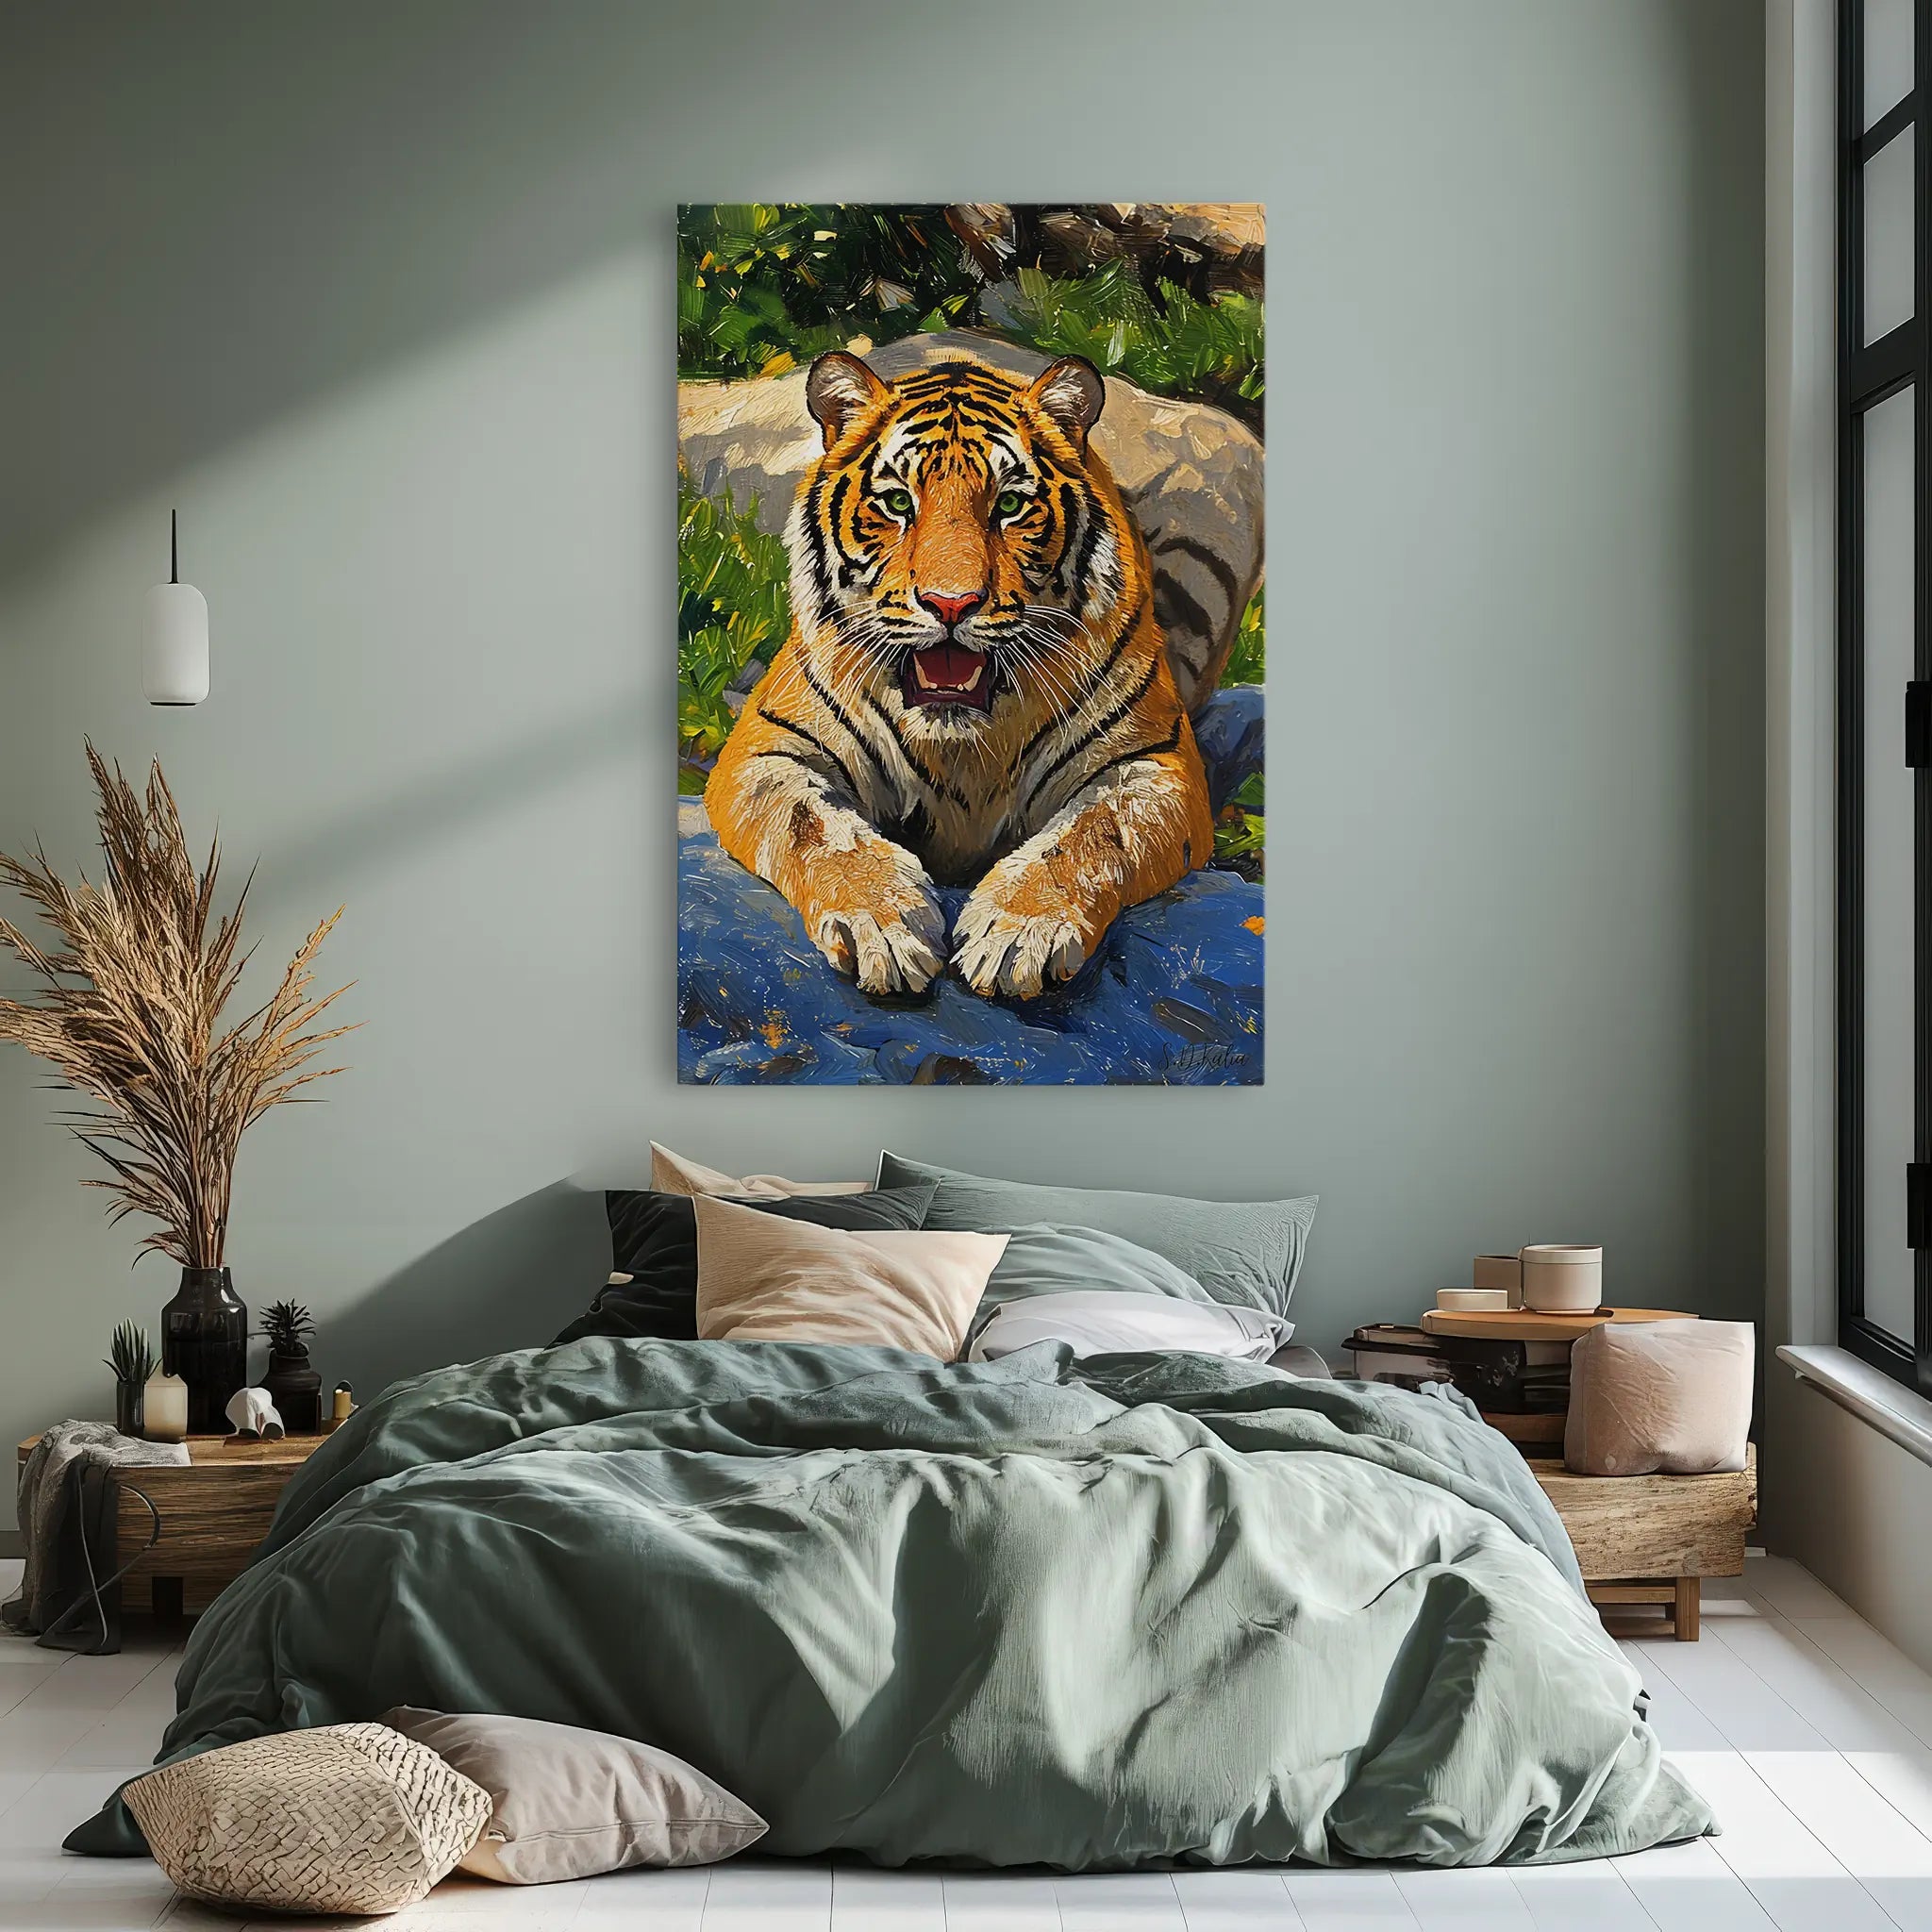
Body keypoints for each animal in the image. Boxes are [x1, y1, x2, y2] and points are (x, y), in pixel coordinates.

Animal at [705, 349, 1217, 1001]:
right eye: (899, 504)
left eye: (1009, 505)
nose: (951, 605)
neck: (963, 750)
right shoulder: (768, 750)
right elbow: (817, 829)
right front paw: (884, 925)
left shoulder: (1153, 764)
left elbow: (1092, 833)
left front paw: (1019, 932)